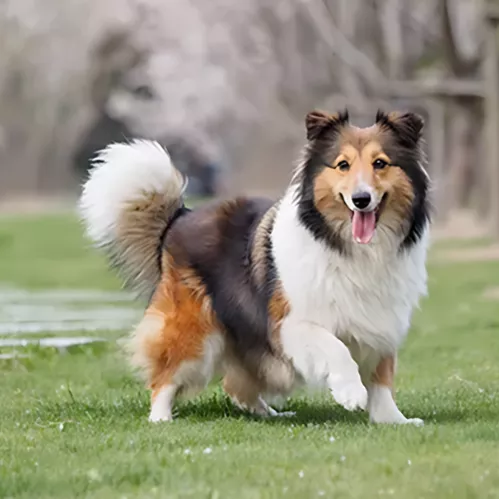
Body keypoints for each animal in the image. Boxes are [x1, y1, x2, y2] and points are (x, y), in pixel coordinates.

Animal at [80, 109, 432, 426]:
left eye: (380, 163)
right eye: (343, 165)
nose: (361, 199)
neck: (349, 246)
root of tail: (180, 216)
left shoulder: (381, 321)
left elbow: (382, 378)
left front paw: (394, 420)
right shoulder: (290, 323)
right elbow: (336, 348)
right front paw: (350, 391)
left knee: (236, 384)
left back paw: (271, 413)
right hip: (194, 330)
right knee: (166, 374)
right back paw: (160, 418)